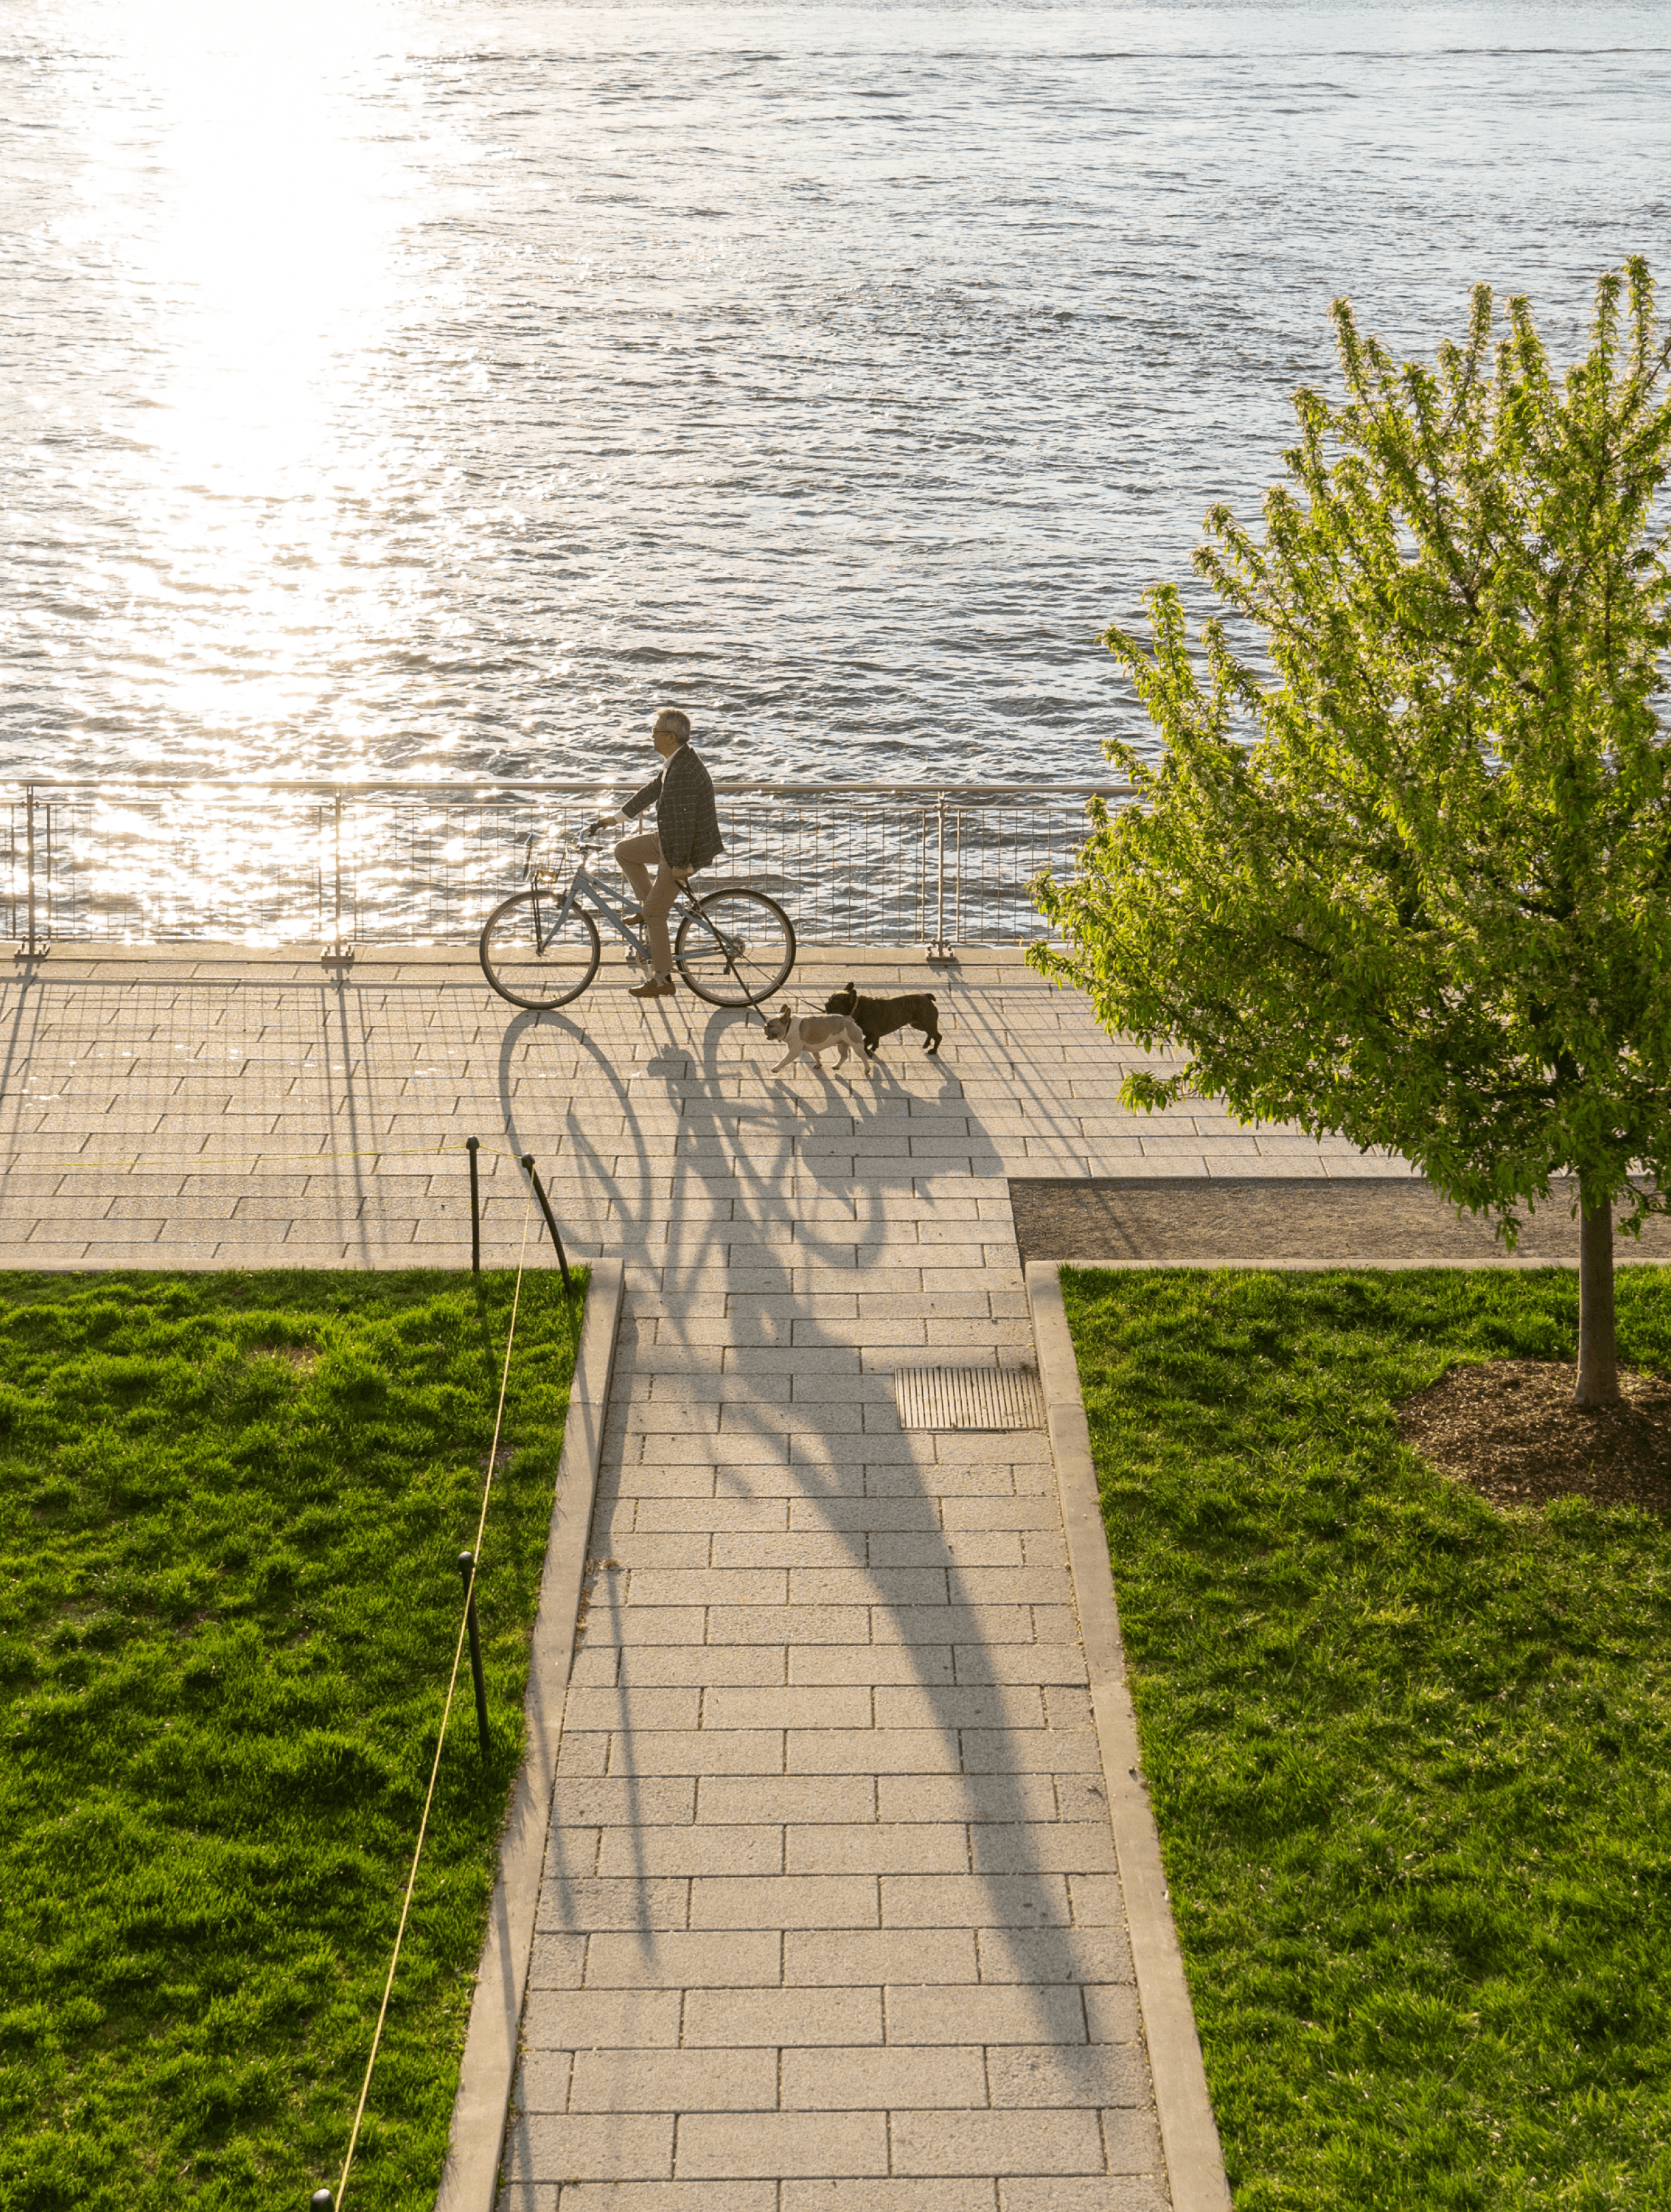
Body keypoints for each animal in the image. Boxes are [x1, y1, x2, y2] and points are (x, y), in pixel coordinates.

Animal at [765, 1008, 866, 1075]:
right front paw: (818, 1065)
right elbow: (816, 1056)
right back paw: (837, 1066)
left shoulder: (793, 1052)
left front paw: (776, 1068)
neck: (789, 1027)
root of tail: (850, 1019)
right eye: (766, 1025)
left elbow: (784, 1060)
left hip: (856, 1044)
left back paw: (867, 1070)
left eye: (770, 1026)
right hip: (842, 1045)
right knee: (844, 1056)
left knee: (864, 1057)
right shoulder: (814, 1049)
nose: (764, 1028)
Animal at [822, 982, 941, 1057]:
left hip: (926, 1022)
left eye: (833, 1005)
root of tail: (926, 996)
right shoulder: (875, 1035)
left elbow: (865, 1043)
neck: (856, 1006)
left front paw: (869, 1052)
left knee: (938, 1036)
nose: (826, 1004)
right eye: (828, 1001)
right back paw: (926, 1044)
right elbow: (873, 1042)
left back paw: (933, 1050)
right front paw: (873, 1049)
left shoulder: (872, 1034)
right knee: (931, 1033)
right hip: (919, 1024)